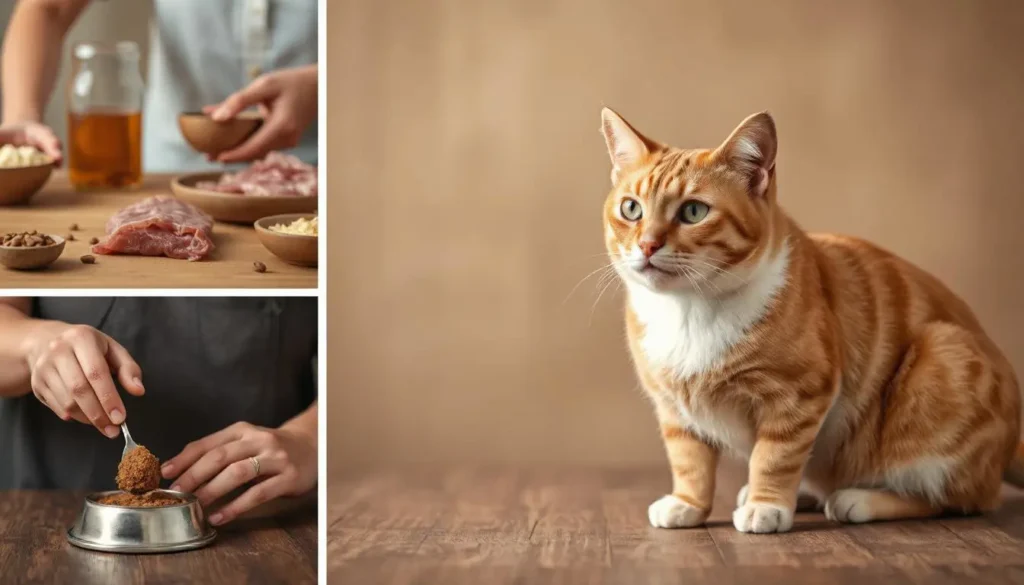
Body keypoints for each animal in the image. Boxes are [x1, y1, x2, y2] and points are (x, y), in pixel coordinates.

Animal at [598, 107, 1024, 532]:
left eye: (693, 211)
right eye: (631, 209)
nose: (647, 245)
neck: (689, 310)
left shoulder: (799, 394)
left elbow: (774, 457)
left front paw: (766, 505)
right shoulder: (674, 410)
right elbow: (690, 462)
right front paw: (687, 504)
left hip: (942, 359)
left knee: (959, 499)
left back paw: (859, 499)